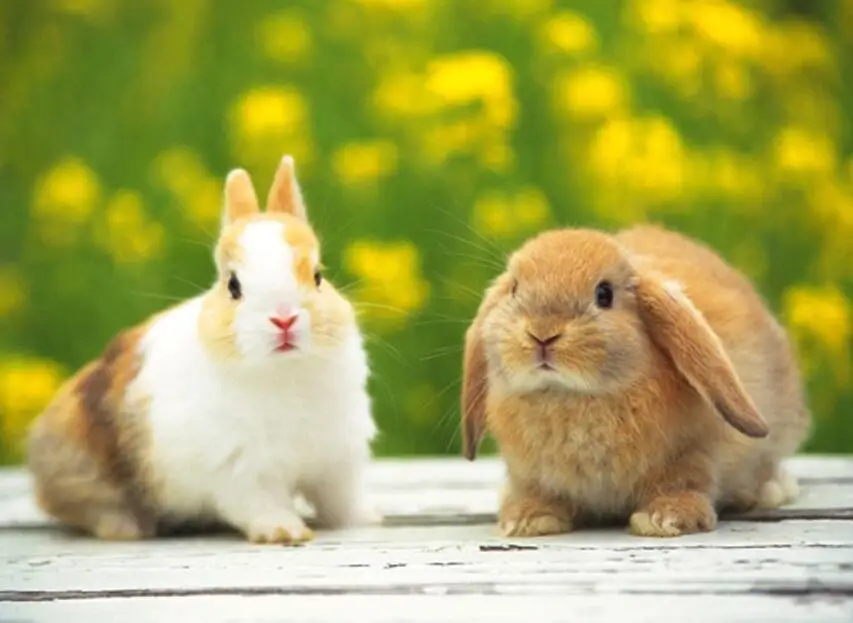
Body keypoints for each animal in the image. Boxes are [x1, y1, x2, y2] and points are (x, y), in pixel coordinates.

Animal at [26, 155, 380, 544]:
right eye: (233, 286)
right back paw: (128, 527)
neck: (283, 372)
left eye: (317, 276)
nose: (284, 319)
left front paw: (365, 518)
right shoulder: (240, 470)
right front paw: (284, 531)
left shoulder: (337, 461)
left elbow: (340, 500)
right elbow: (261, 504)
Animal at [460, 224, 811, 538]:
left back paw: (769, 491)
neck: (571, 397)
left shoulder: (693, 453)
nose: (542, 334)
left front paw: (667, 519)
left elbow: (686, 481)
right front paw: (529, 519)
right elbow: (538, 492)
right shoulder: (531, 473)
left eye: (604, 294)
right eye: (515, 289)